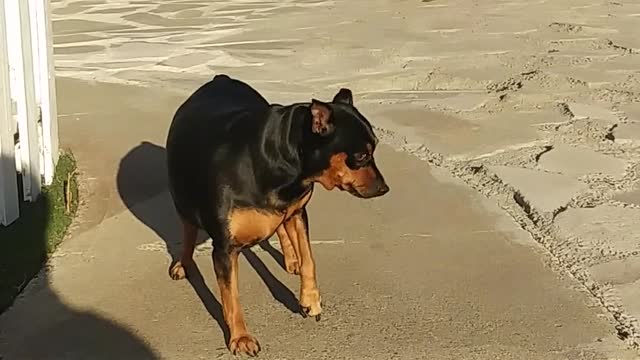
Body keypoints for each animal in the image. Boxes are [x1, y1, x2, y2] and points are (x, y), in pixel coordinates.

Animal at [165, 74, 388, 356]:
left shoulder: (299, 210)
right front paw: (240, 337)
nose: (384, 188)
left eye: (374, 149)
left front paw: (310, 299)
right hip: (182, 197)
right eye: (360, 156)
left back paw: (291, 258)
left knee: (283, 227)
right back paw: (183, 263)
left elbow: (309, 259)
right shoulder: (225, 248)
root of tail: (220, 78)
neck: (284, 162)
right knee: (188, 228)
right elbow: (231, 297)